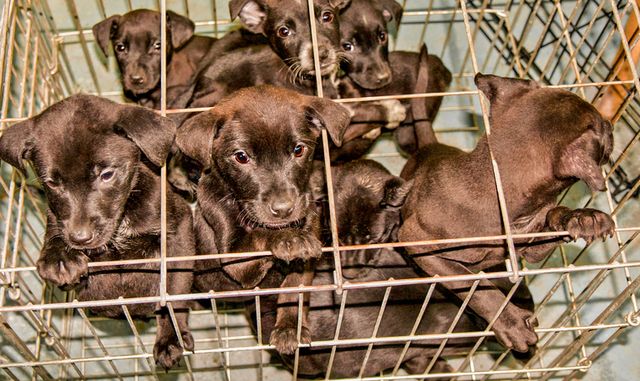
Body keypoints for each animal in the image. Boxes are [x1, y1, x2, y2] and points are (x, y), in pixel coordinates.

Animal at [0, 94, 195, 368]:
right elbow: (55, 224)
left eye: (107, 174)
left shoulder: (178, 230)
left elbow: (173, 292)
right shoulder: (59, 219)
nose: (80, 238)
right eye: (52, 182)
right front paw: (59, 256)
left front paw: (170, 339)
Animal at [174, 85, 350, 354]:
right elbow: (261, 235)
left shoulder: (307, 254)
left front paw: (289, 328)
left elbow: (293, 290)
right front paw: (290, 238)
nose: (284, 209)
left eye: (299, 150)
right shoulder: (233, 256)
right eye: (241, 157)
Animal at [400, 74, 616, 354]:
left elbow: (553, 219)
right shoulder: (417, 241)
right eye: (601, 127)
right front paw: (511, 323)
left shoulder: (532, 246)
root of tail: (432, 145)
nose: (611, 125)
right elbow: (475, 284)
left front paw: (583, 218)